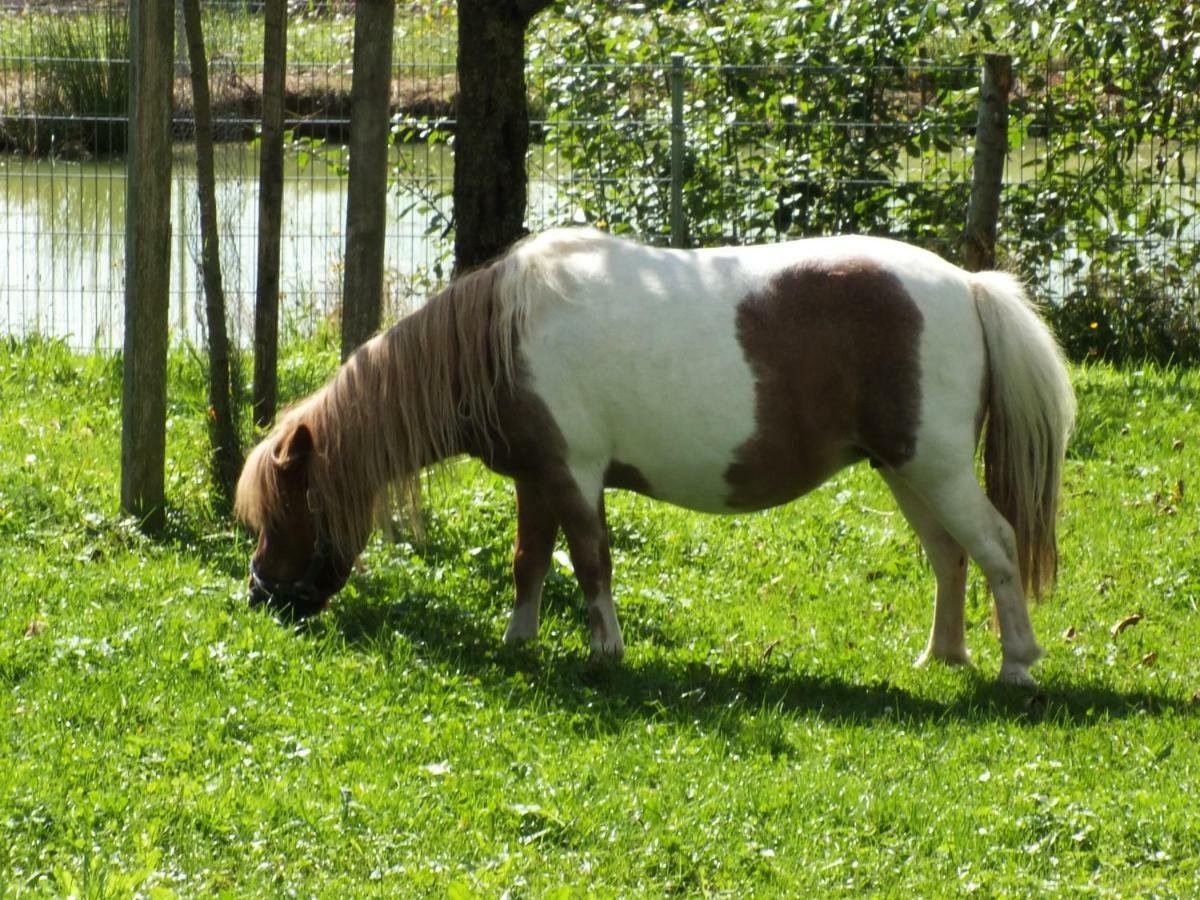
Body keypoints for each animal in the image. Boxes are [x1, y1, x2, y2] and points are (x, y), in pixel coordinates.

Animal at [229, 229, 1075, 686]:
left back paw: (1016, 662)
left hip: (935, 469)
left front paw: (605, 650)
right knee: (948, 557)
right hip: (907, 472)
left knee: (995, 547)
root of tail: (968, 285)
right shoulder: (538, 479)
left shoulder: (574, 475)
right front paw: (519, 640)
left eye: (287, 506)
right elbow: (529, 562)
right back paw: (943, 656)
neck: (503, 337)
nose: (260, 596)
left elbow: (590, 561)